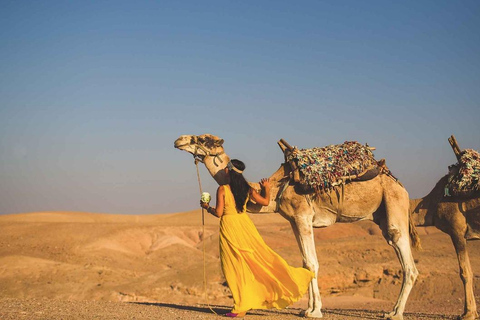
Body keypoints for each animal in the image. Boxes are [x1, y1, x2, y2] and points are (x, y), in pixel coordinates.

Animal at [174, 134, 418, 318]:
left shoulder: (303, 216)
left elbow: (311, 263)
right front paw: (308, 309)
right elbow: (304, 263)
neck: (276, 188)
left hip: (394, 202)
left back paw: (395, 314)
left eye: (204, 139)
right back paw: (393, 311)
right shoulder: (294, 221)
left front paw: (315, 312)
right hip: (382, 214)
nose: (179, 140)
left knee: (407, 261)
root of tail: (400, 184)